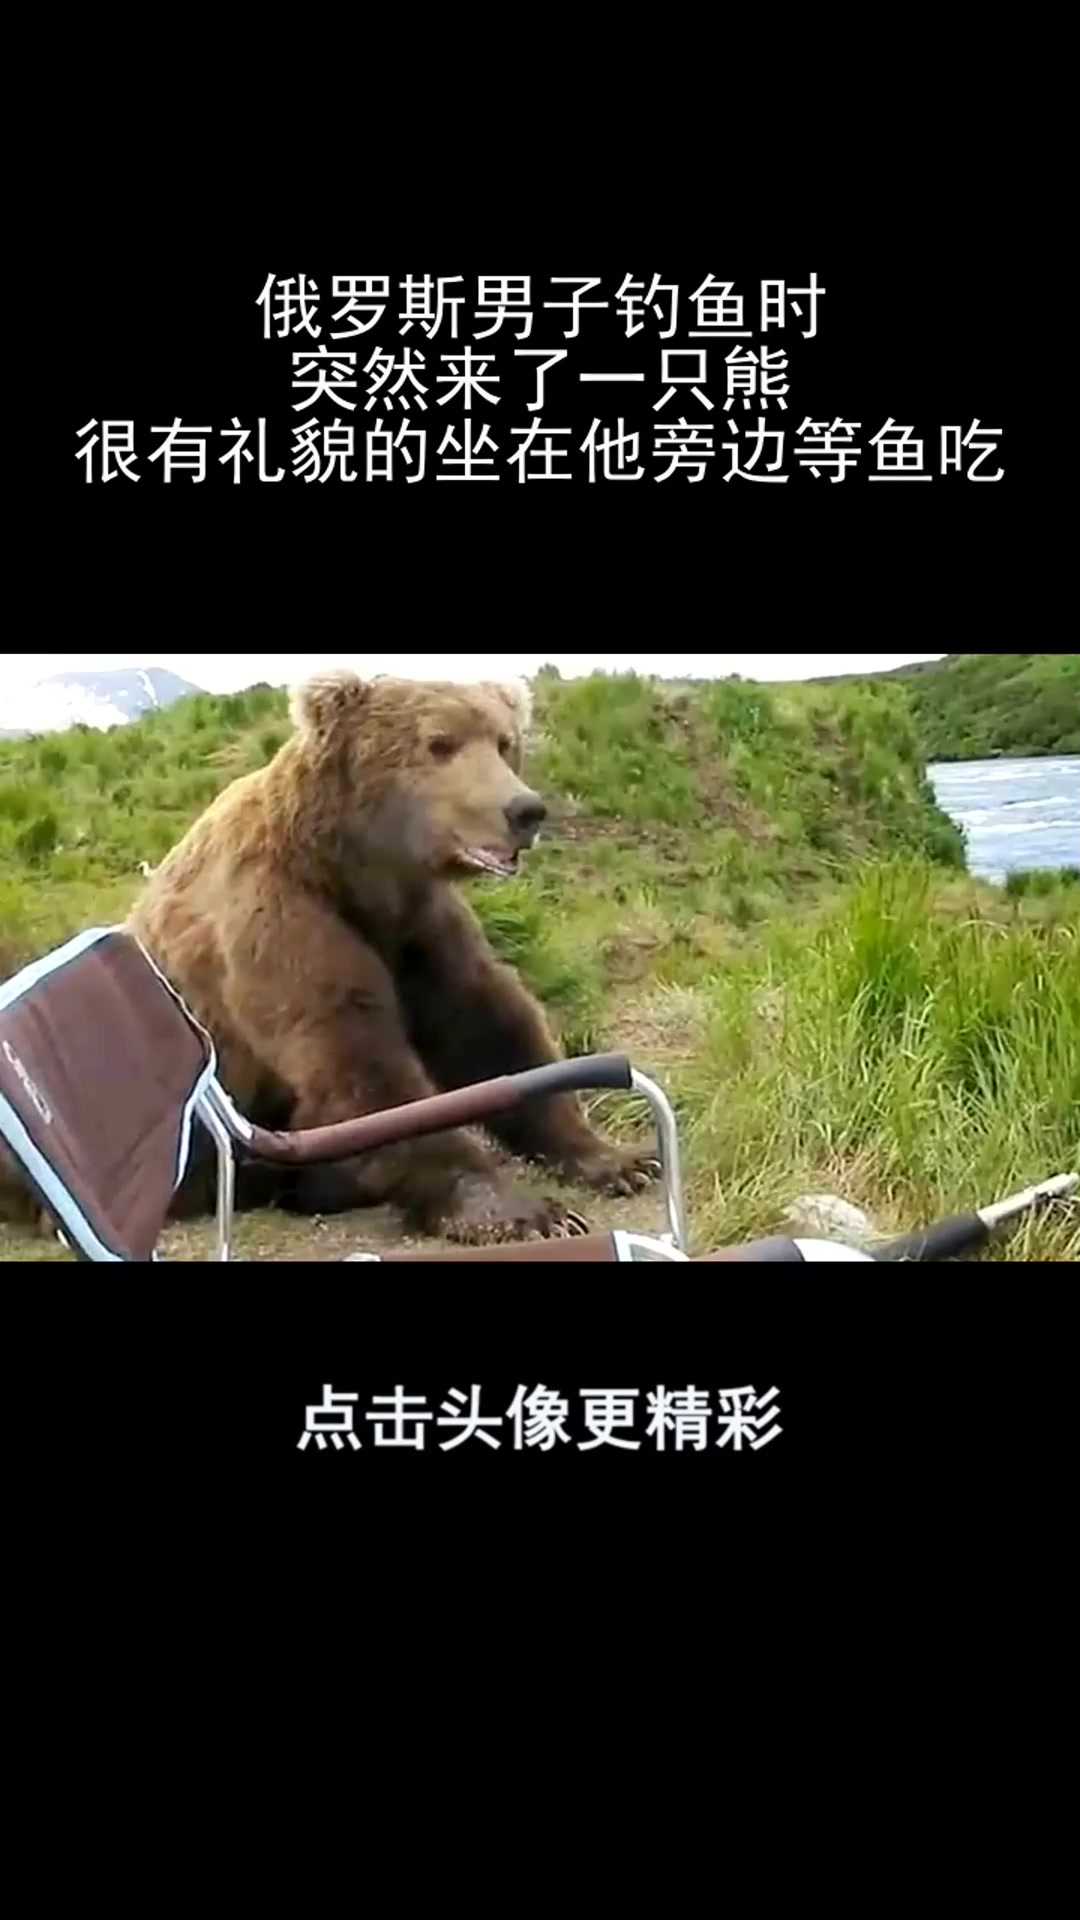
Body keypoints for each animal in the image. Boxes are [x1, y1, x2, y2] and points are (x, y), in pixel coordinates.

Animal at [123, 668, 660, 1244]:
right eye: (440, 743)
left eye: (503, 742)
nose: (525, 810)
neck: (355, 872)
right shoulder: (278, 919)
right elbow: (361, 1060)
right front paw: (524, 1211)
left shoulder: (419, 930)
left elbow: (490, 1030)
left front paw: (618, 1160)